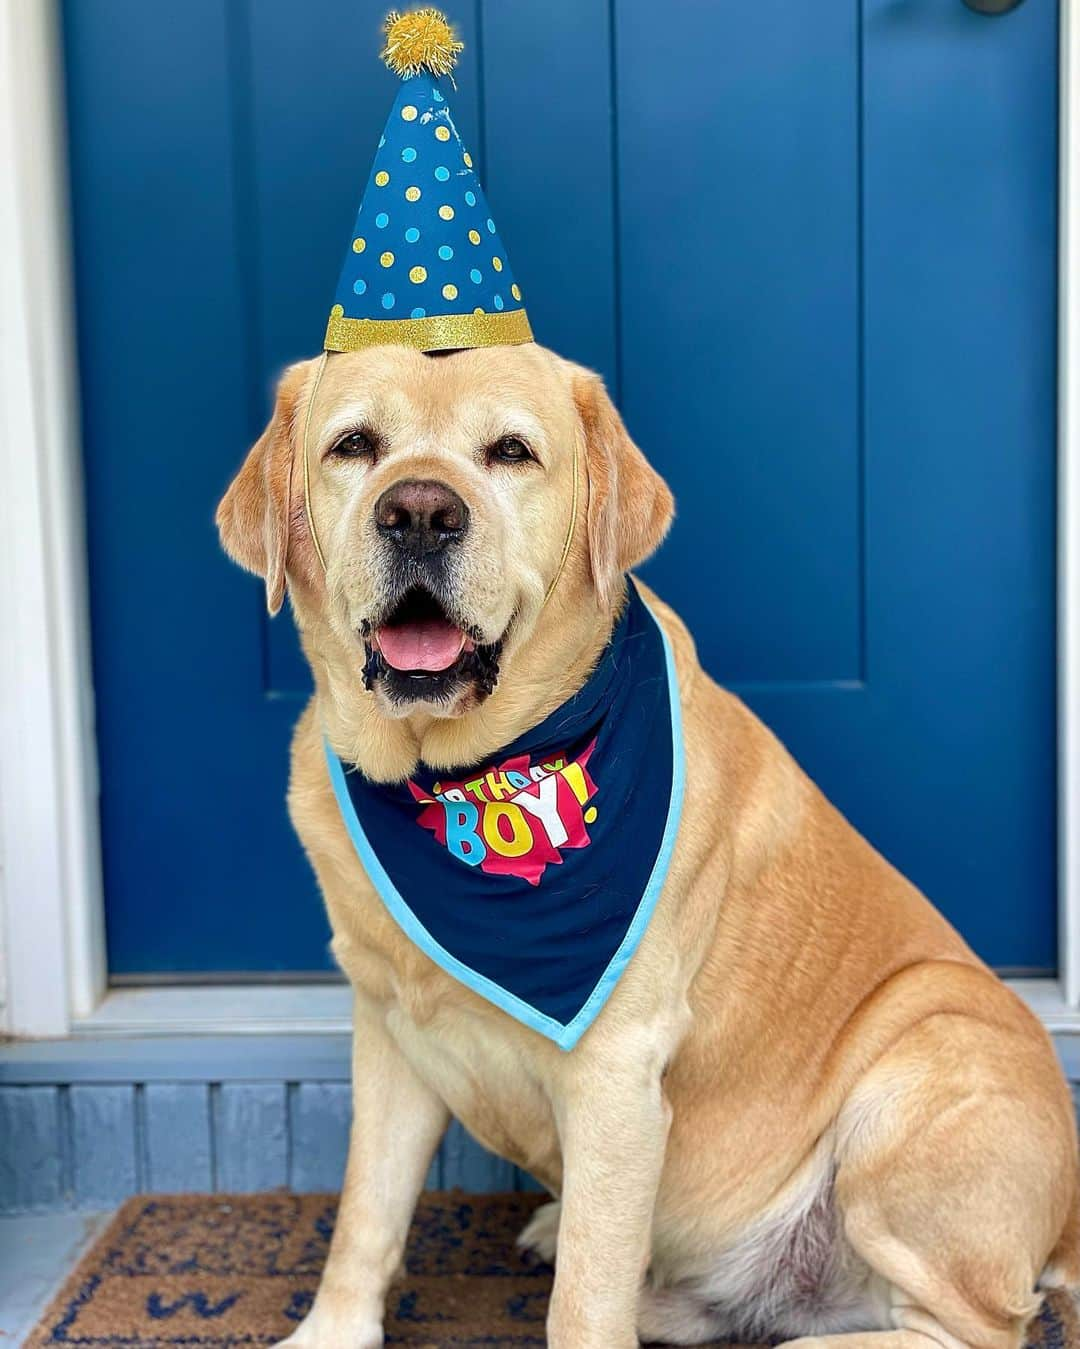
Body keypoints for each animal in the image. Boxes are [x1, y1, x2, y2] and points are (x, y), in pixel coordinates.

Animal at [218, 339, 1078, 1349]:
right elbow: (366, 1214)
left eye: (511, 451)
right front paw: (333, 1329)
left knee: (975, 1327)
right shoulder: (392, 1029)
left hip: (926, 1059)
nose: (420, 512)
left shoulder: (618, 1070)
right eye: (355, 444)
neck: (470, 779)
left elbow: (586, 1298)